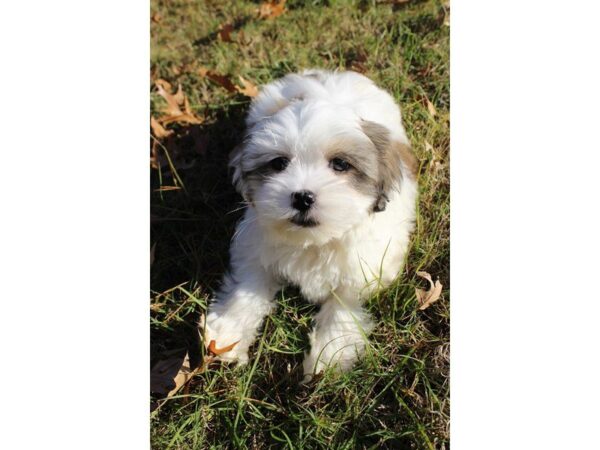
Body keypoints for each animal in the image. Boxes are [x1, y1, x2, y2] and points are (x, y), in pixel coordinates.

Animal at [204, 69, 414, 380]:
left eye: (340, 164)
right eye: (279, 163)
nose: (302, 197)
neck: (315, 240)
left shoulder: (366, 269)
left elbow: (343, 307)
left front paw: (328, 357)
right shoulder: (254, 245)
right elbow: (249, 285)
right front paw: (228, 334)